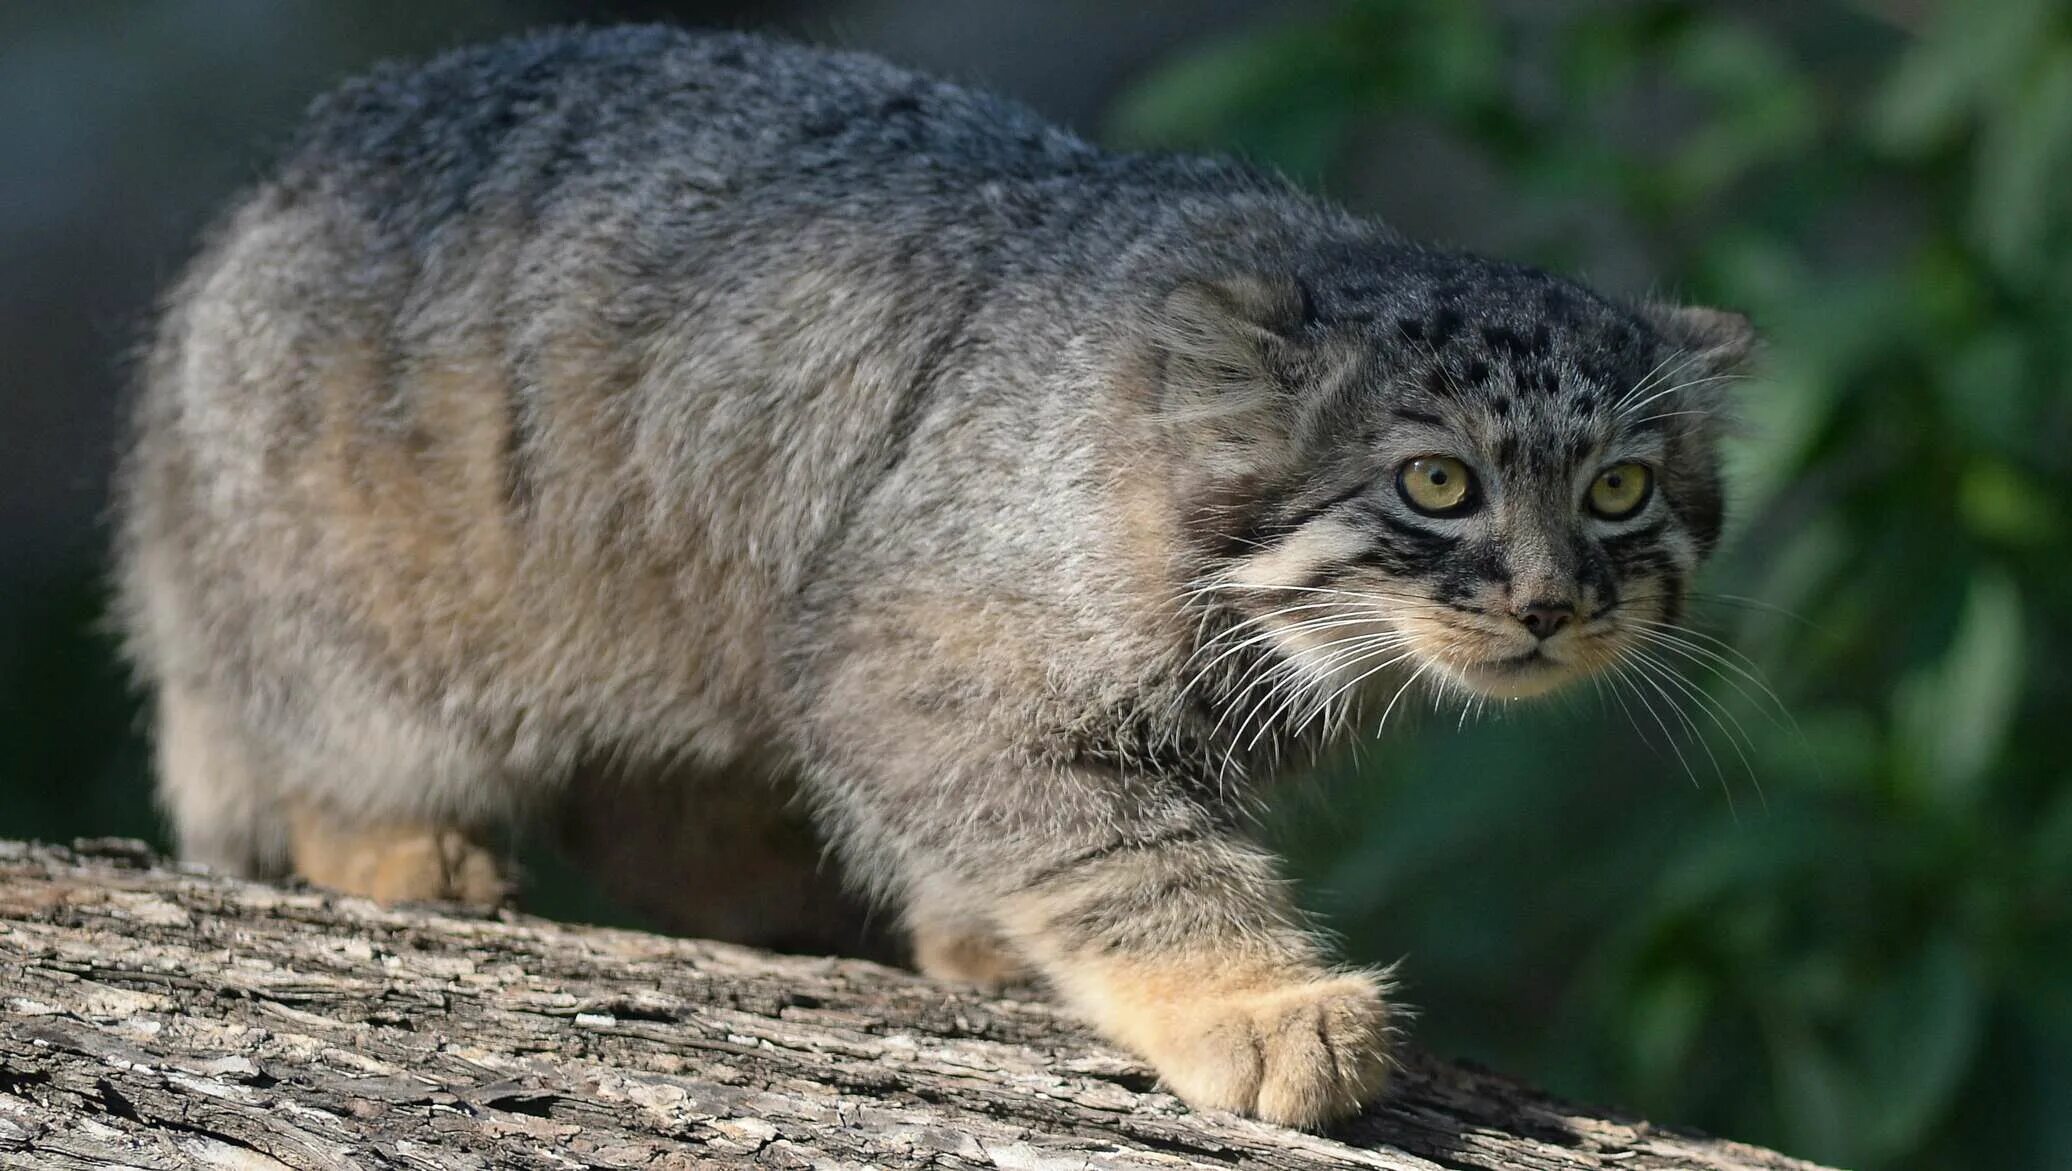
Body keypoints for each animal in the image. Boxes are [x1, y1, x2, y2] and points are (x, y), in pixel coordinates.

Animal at [117, 25, 1748, 1119]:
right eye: (1437, 482)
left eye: (1617, 491)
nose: (1550, 602)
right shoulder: (899, 659)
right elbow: (1122, 848)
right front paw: (1255, 998)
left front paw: (976, 937)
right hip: (355, 595)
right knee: (318, 729)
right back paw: (397, 842)